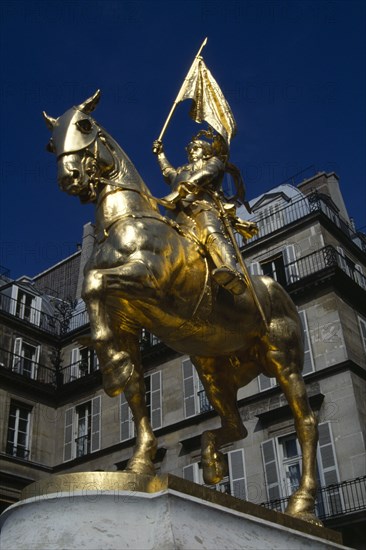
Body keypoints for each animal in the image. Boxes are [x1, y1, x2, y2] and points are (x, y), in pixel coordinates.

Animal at [44, 89, 322, 528]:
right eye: (50, 143)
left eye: (85, 125)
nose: (70, 178)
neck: (127, 220)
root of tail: (277, 286)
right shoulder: (128, 321)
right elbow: (136, 392)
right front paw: (140, 458)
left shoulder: (149, 280)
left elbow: (93, 284)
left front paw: (112, 364)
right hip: (213, 370)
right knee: (236, 427)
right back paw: (211, 461)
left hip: (283, 359)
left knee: (306, 423)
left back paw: (302, 506)